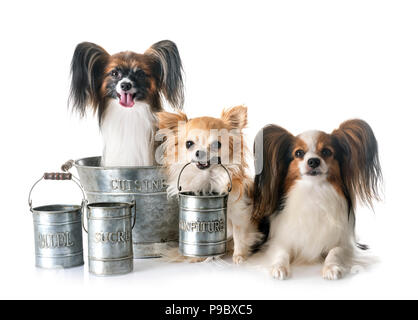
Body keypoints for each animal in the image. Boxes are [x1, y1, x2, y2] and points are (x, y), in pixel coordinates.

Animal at [157, 106, 260, 264]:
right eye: (189, 144)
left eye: (217, 144)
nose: (200, 152)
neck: (208, 178)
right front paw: (201, 257)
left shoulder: (239, 213)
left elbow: (239, 234)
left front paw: (239, 256)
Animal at [250, 120, 384, 280]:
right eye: (299, 153)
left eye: (326, 152)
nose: (313, 161)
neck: (314, 191)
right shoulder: (277, 241)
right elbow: (280, 252)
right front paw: (279, 268)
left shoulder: (345, 243)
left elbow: (335, 251)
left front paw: (331, 268)